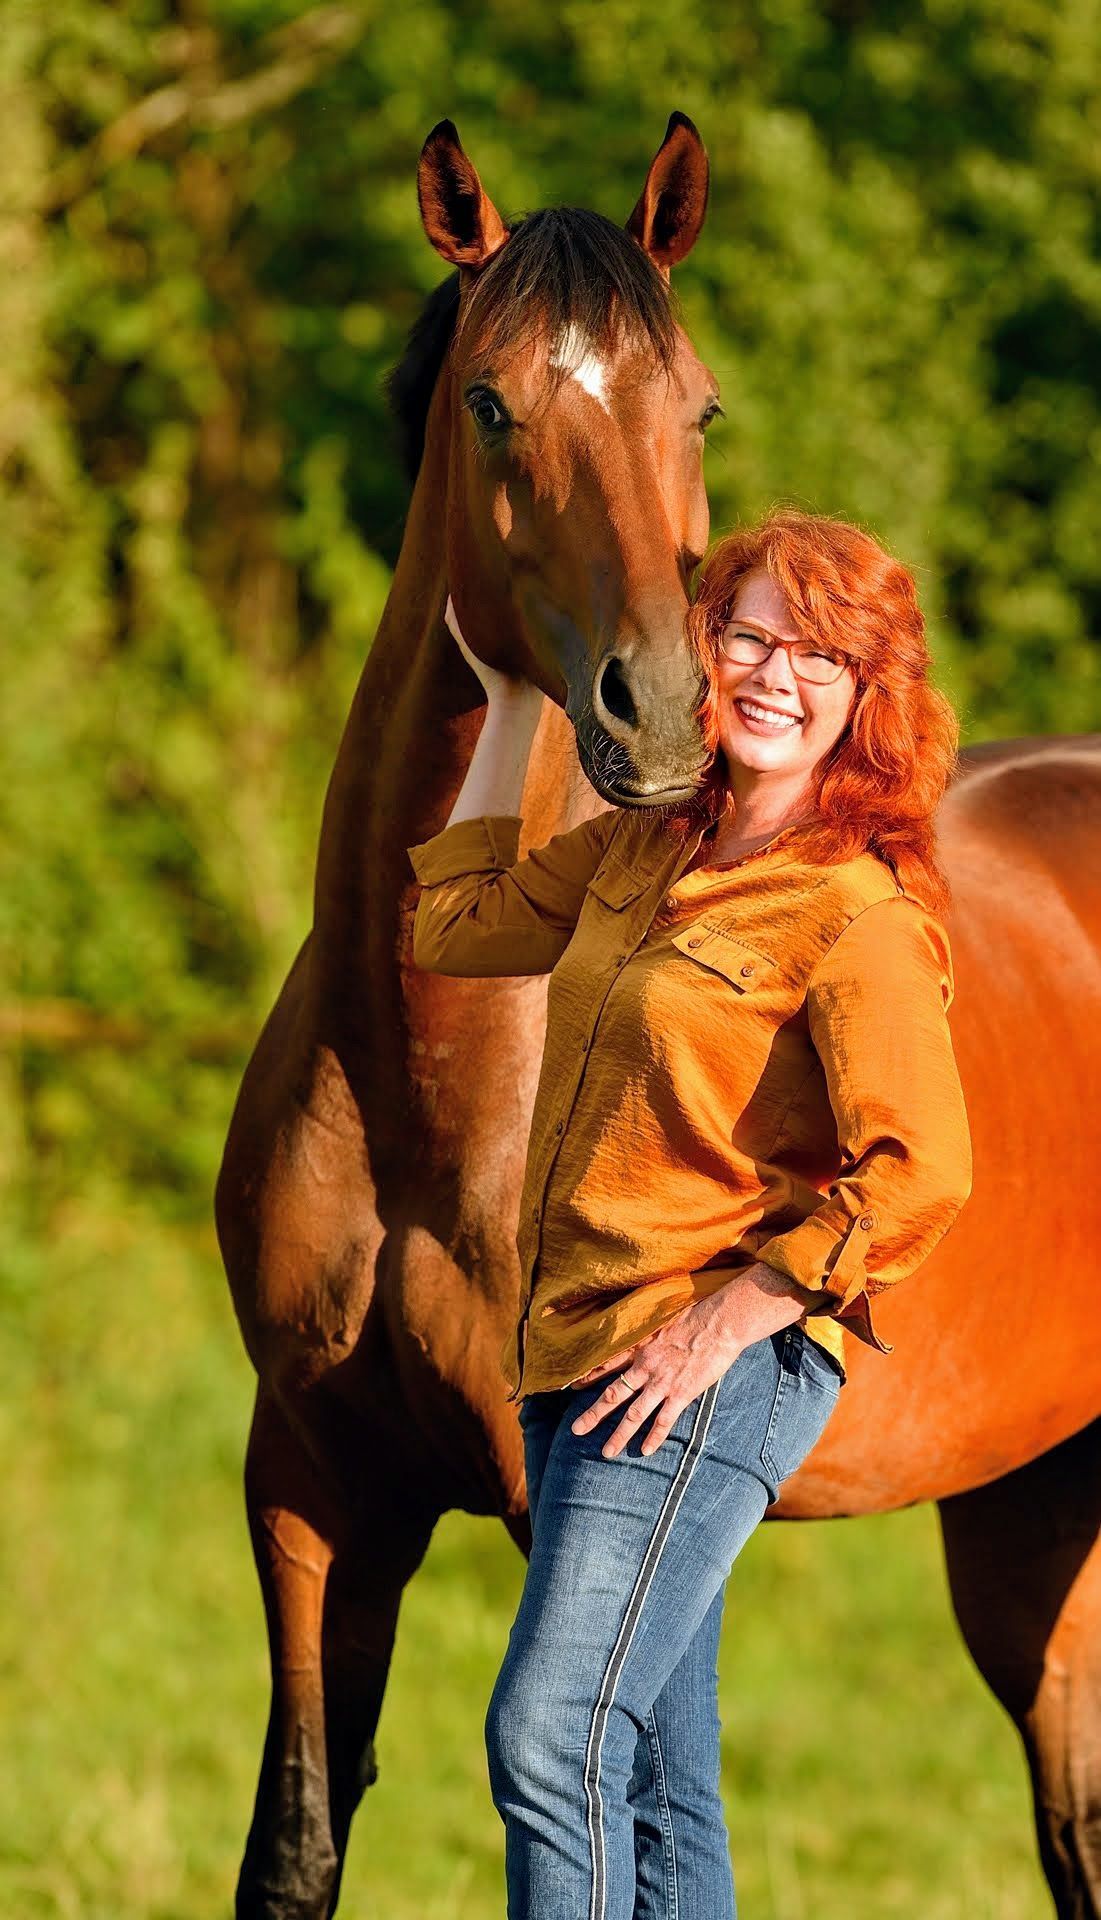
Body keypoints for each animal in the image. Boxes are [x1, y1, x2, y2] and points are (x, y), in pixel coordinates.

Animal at [215, 114, 1101, 1918]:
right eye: (492, 402)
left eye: (695, 406)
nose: (670, 705)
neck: (430, 1084)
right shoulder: (313, 1480)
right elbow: (299, 1841)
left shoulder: (558, 1503)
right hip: (1029, 1514)